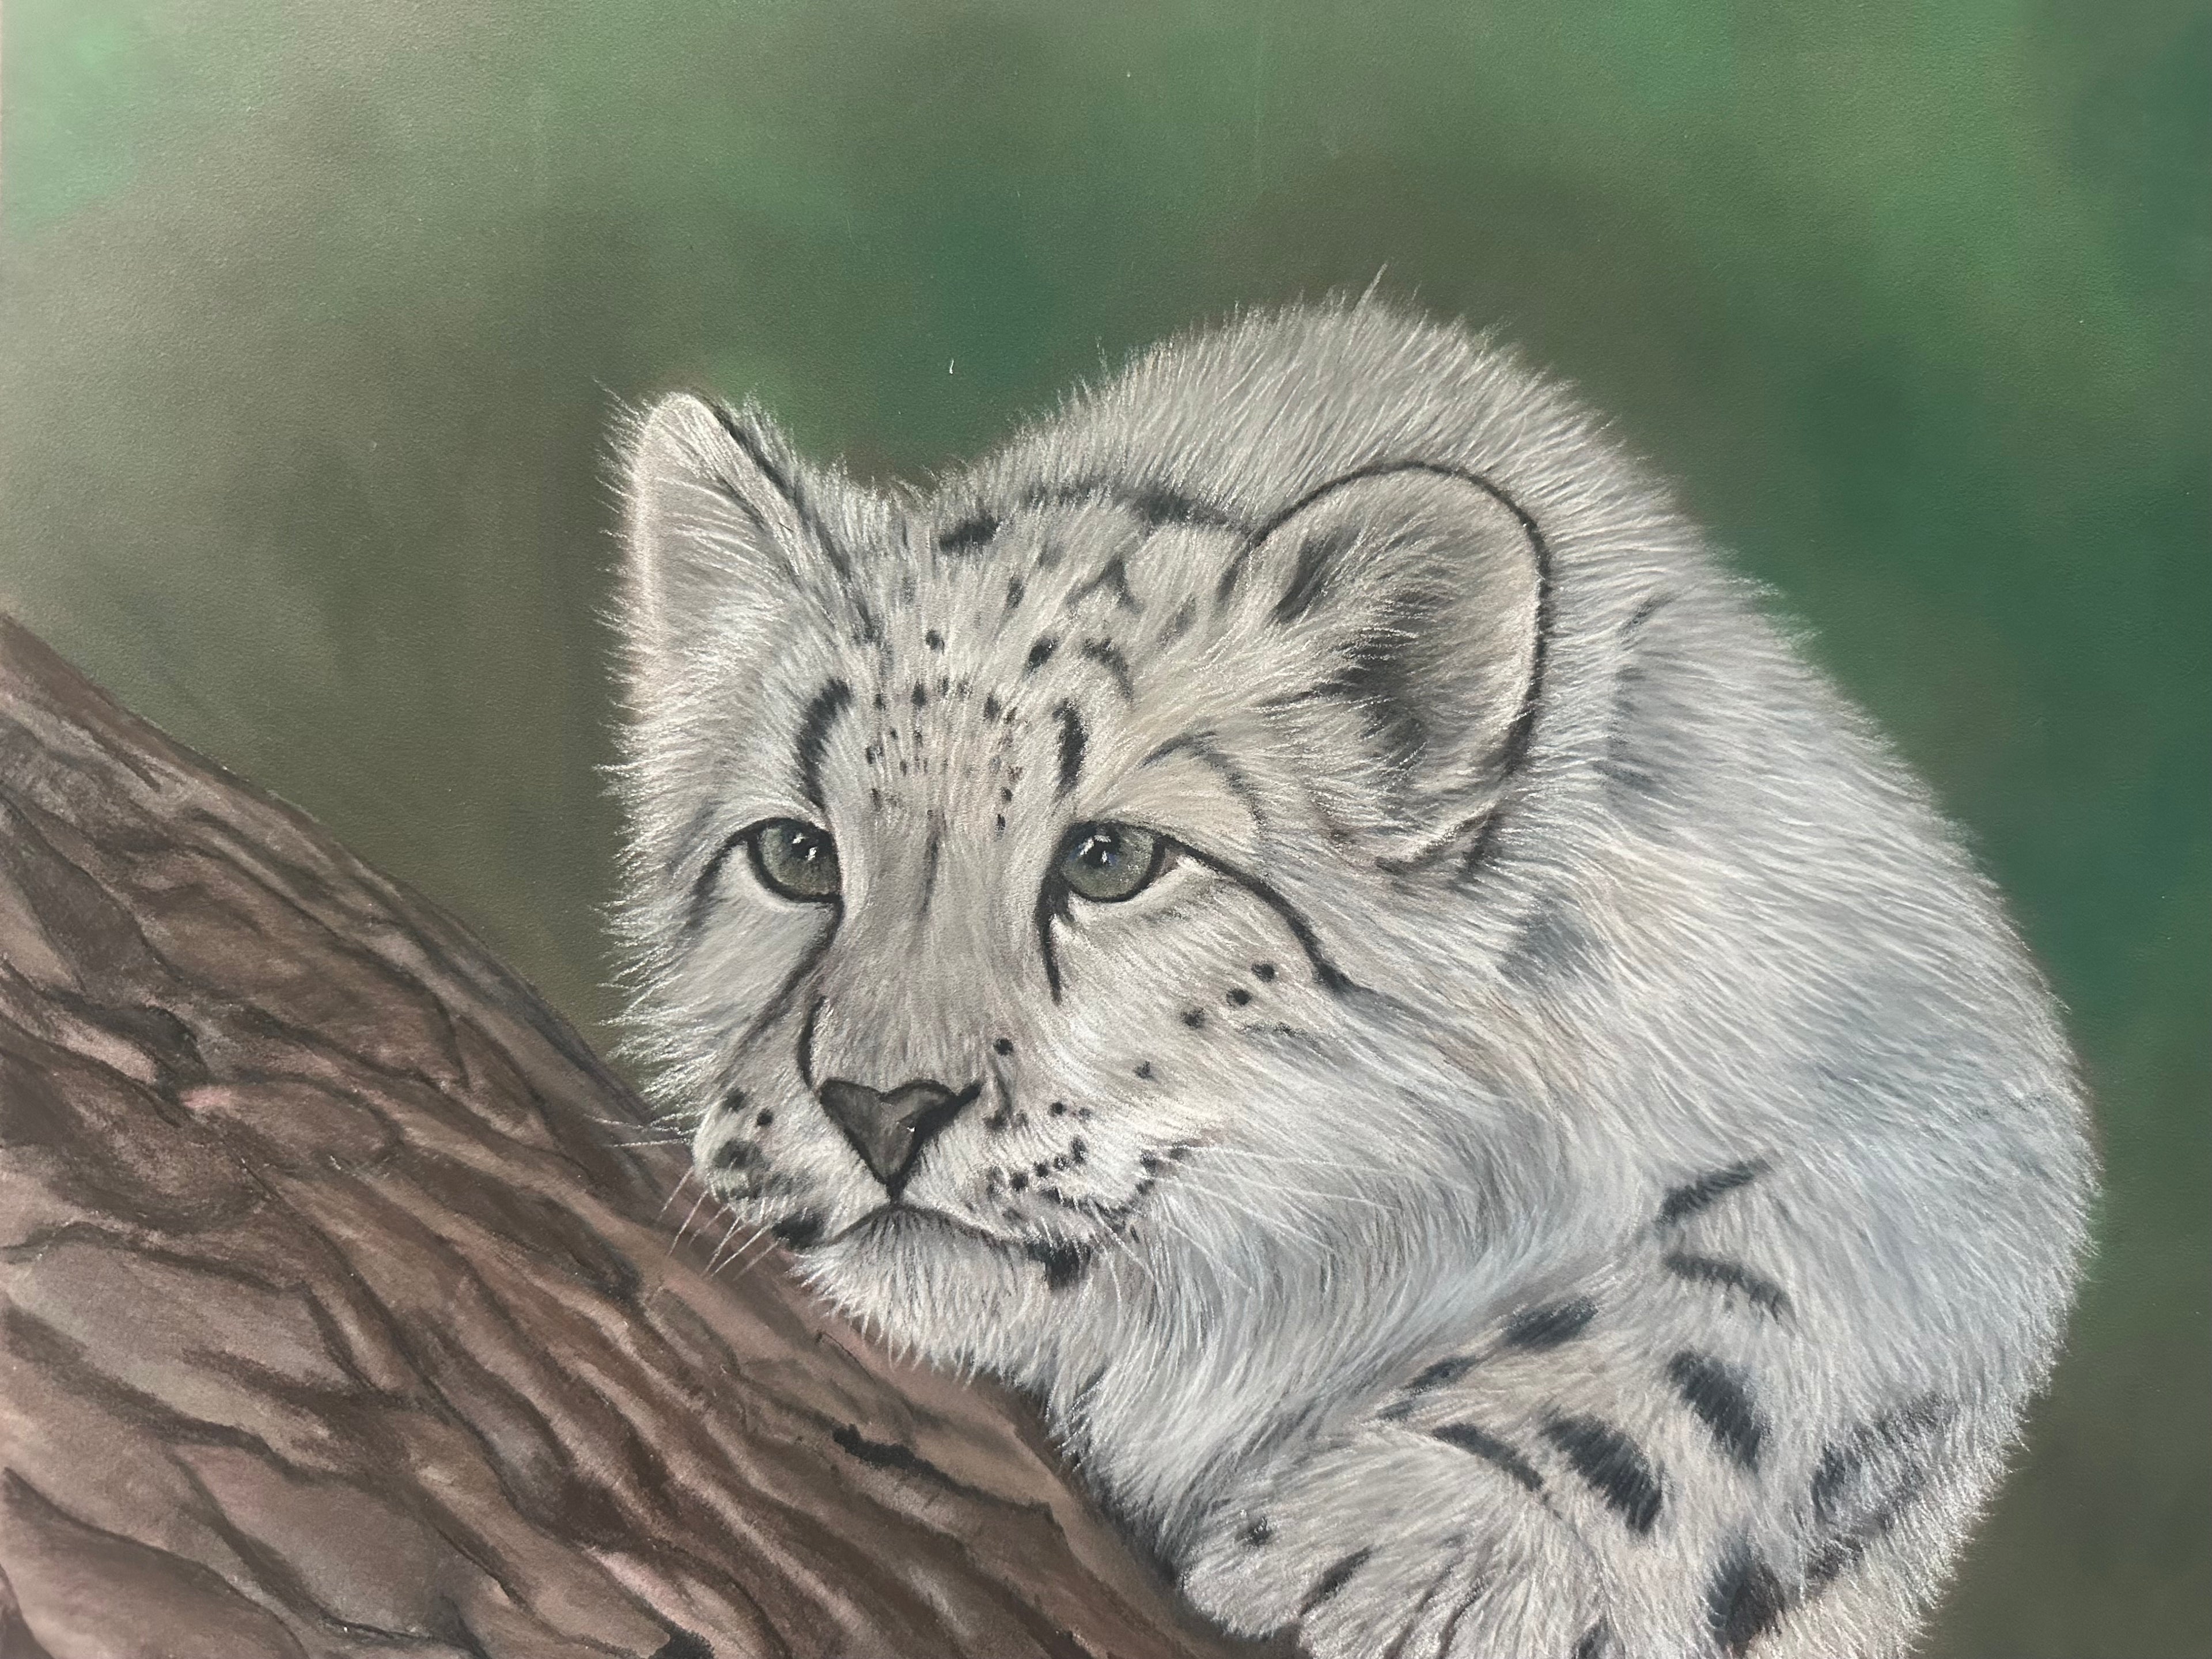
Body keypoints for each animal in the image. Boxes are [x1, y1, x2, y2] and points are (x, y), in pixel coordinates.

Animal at [608, 299, 2094, 1658]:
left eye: (1110, 858)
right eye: (796, 854)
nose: (881, 1106)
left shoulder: (1945, 1107)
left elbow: (1730, 1301)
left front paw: (1431, 1541)